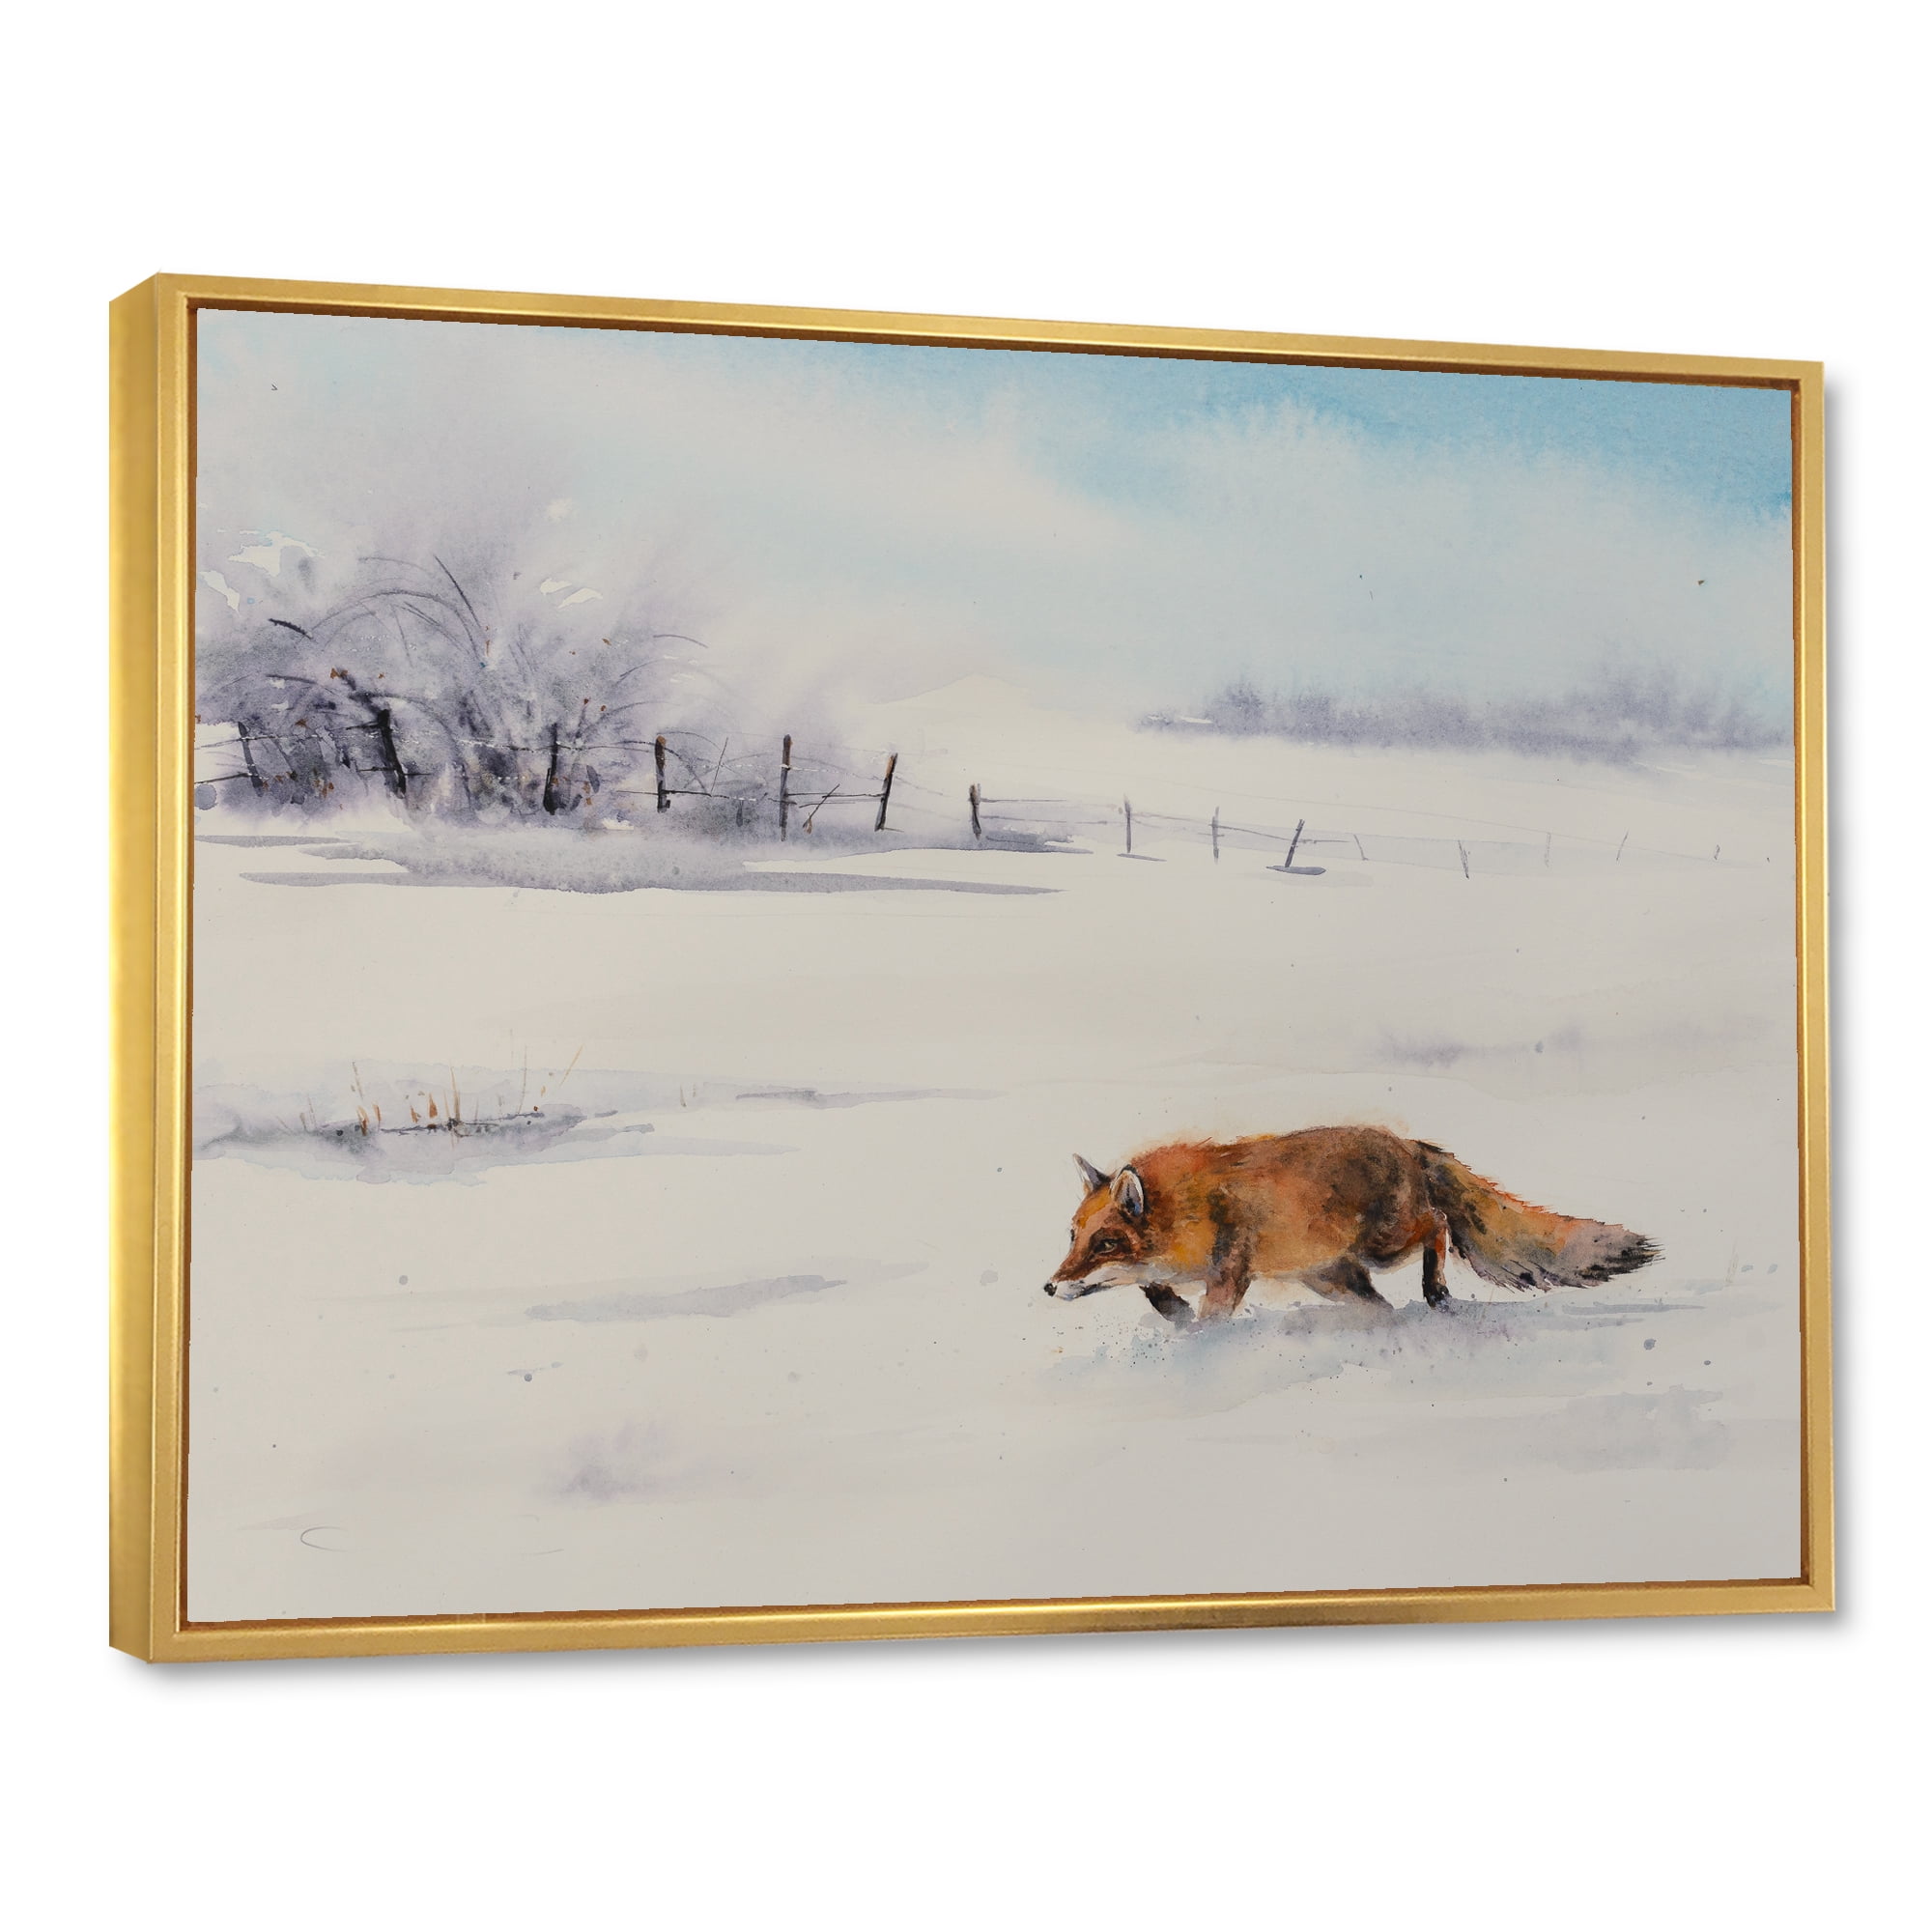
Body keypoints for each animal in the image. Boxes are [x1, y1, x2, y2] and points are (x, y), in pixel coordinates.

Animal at [1044, 1125, 1657, 1326]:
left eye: (1105, 1243)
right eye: (1072, 1237)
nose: (1049, 1286)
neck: (1193, 1210)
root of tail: (1408, 1143)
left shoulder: (1230, 1269)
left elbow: (1209, 1316)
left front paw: (1196, 1345)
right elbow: (1155, 1292)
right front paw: (1172, 1314)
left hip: (1384, 1246)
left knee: (1438, 1225)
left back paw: (1437, 1292)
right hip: (1334, 1276)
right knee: (1379, 1305)